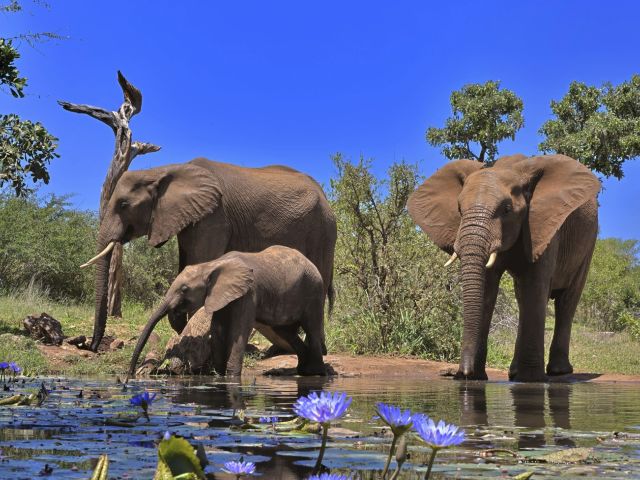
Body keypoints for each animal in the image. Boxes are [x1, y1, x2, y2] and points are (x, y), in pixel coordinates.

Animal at [82, 159, 338, 350]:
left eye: (123, 204)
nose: (92, 345)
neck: (164, 170)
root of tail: (324, 195)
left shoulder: (214, 216)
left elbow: (200, 262)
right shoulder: (190, 218)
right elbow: (185, 266)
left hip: (322, 230)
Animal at [126, 248, 324, 378]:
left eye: (184, 289)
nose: (129, 378)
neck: (210, 265)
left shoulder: (249, 292)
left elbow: (239, 331)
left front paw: (231, 376)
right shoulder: (220, 295)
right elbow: (218, 329)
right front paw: (219, 375)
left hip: (314, 290)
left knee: (312, 327)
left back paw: (315, 373)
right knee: (285, 331)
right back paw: (302, 370)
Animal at [410, 154, 600, 382]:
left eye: (507, 210)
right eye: (459, 210)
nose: (461, 373)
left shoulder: (542, 226)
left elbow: (535, 286)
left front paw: (531, 380)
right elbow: (487, 289)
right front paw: (477, 377)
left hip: (589, 242)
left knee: (567, 300)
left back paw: (557, 371)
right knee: (523, 299)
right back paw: (515, 373)